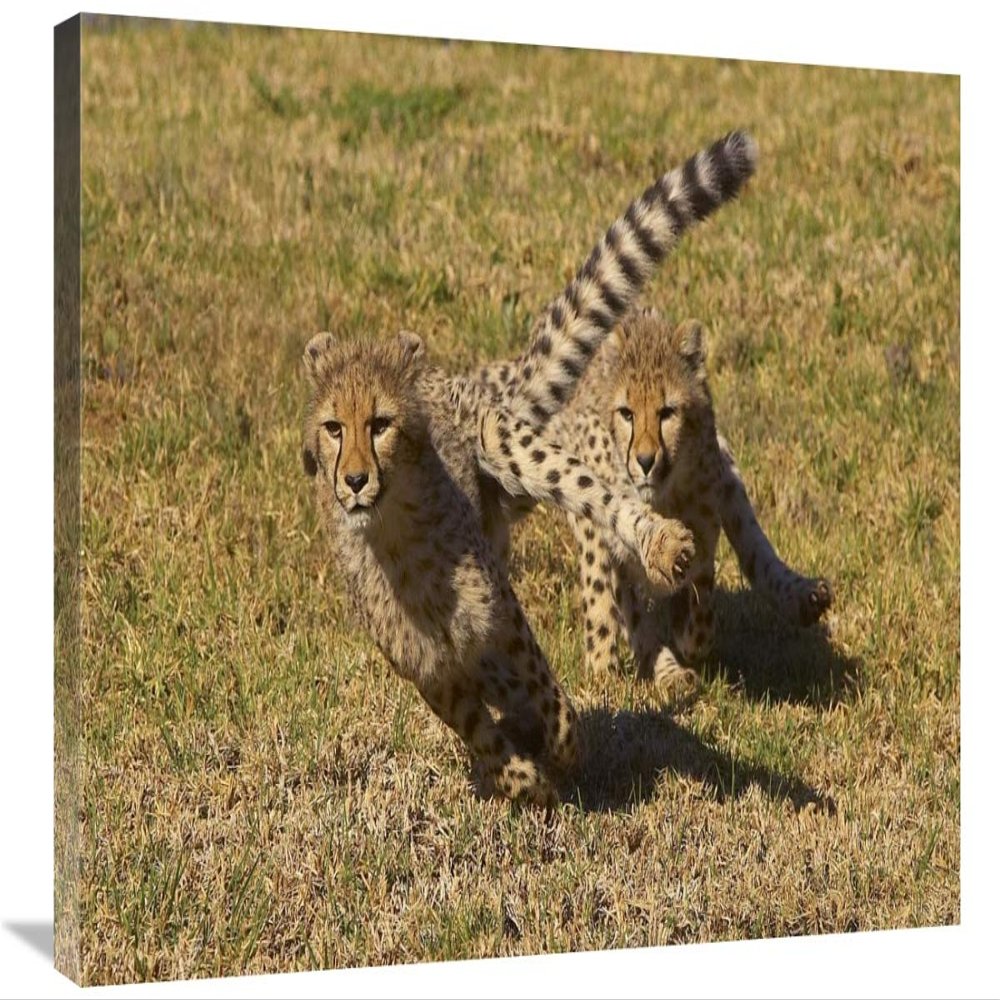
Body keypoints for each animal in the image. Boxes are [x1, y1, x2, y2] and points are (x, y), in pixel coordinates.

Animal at [301, 131, 759, 806]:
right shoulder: (432, 674)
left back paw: (665, 545)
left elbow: (546, 688)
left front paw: (564, 748)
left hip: (509, 443)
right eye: (334, 428)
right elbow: (476, 728)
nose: (355, 480)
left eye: (379, 424)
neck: (398, 542)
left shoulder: (504, 619)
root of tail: (453, 381)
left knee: (605, 501)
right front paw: (520, 776)